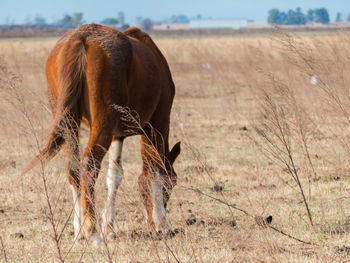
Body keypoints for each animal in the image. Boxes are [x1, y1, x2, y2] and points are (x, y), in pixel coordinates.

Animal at [21, 24, 180, 245]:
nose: (153, 220)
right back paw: (92, 231)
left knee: (74, 170)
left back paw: (79, 232)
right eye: (173, 182)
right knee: (89, 167)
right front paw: (162, 223)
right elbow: (154, 171)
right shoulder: (156, 126)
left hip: (68, 124)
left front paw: (110, 228)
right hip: (102, 125)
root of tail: (80, 39)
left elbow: (115, 176)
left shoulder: (117, 136)